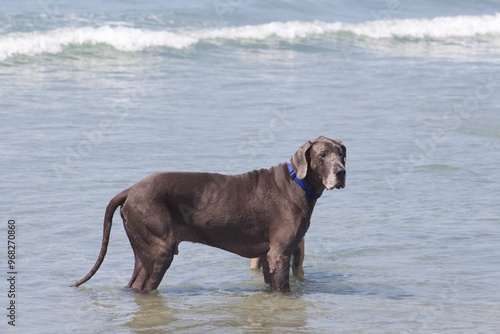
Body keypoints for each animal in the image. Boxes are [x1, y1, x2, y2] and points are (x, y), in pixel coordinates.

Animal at [74, 136, 346, 292]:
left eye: (341, 153)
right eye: (322, 155)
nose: (341, 172)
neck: (297, 184)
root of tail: (130, 190)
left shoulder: (268, 257)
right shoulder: (279, 255)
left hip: (144, 251)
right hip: (158, 250)